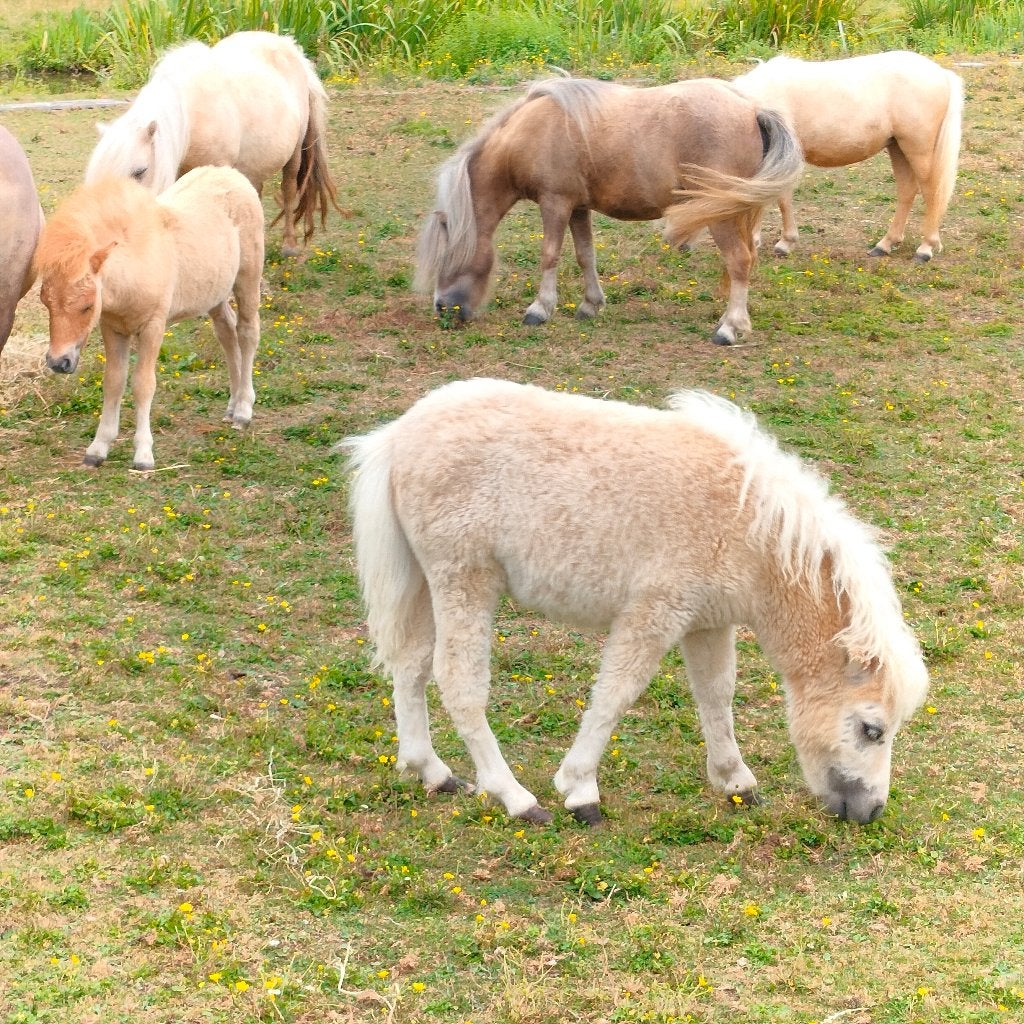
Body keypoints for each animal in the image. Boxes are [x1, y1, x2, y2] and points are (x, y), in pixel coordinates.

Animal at [35, 166, 264, 471]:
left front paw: (143, 454)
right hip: (214, 292)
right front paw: (98, 448)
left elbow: (143, 384)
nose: (59, 363)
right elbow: (114, 382)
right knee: (227, 332)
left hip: (248, 278)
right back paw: (232, 404)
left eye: (87, 306)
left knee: (248, 332)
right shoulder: (113, 328)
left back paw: (243, 409)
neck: (137, 262)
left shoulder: (153, 327)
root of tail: (231, 173)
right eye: (45, 302)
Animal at [84, 30, 338, 256]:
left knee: (288, 189)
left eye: (139, 172)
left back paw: (289, 245)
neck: (191, 117)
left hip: (294, 154)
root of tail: (289, 46)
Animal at [344, 378, 929, 827]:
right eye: (872, 729)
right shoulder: (655, 612)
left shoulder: (707, 623)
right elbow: (615, 695)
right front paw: (579, 789)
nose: (870, 811)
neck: (748, 527)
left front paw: (735, 781)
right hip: (464, 580)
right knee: (458, 683)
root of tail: (397, 437)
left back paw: (432, 772)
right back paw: (515, 798)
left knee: (411, 666)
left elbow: (716, 695)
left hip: (427, 581)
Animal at [415, 77, 803, 345]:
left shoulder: (555, 203)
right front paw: (590, 305)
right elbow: (585, 255)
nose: (442, 310)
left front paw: (540, 309)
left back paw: (728, 329)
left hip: (721, 216)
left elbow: (550, 255)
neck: (529, 133)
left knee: (739, 261)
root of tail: (752, 109)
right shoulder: (577, 208)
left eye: (447, 256)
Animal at [732, 51, 963, 262]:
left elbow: (779, 198)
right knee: (907, 191)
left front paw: (783, 243)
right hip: (898, 147)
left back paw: (925, 248)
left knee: (932, 192)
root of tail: (942, 74)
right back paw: (885, 244)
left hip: (918, 149)